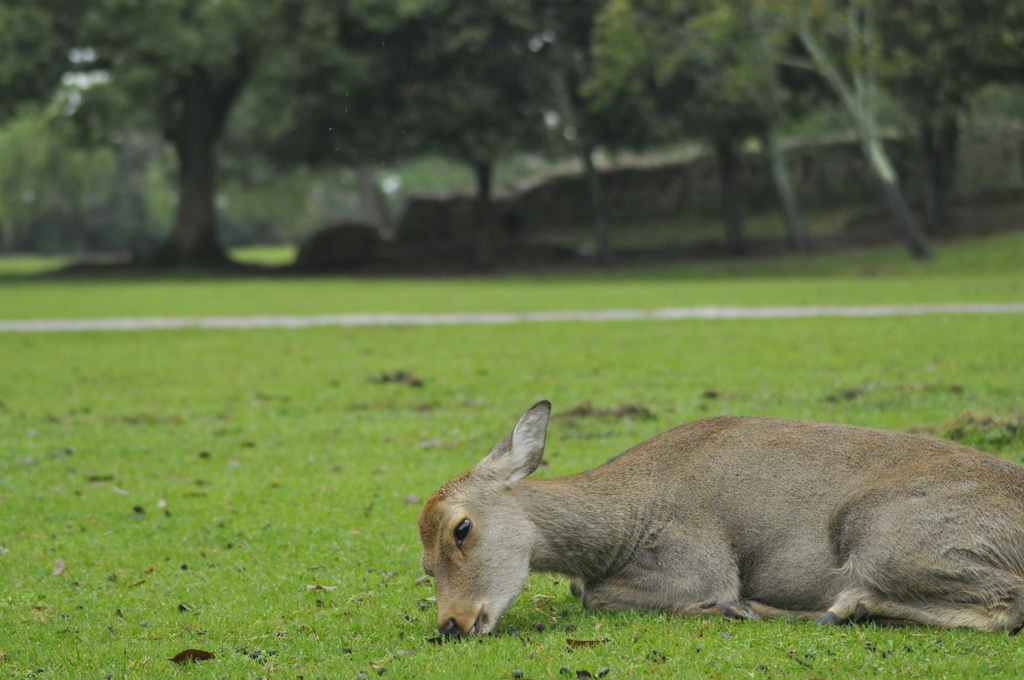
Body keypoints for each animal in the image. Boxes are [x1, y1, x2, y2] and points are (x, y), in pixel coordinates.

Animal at [415, 401, 1024, 634]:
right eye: (424, 566)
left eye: (461, 527)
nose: (452, 623)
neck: (622, 528)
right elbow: (579, 589)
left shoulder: (699, 562)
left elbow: (591, 594)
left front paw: (725, 606)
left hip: (882, 535)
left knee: (1007, 605)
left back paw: (822, 607)